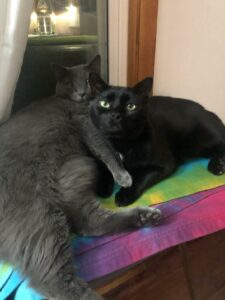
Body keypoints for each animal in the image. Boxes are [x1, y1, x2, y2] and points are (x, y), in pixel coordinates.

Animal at [0, 64, 162, 298]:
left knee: (89, 222)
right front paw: (123, 175)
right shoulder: (88, 125)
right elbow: (107, 150)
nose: (85, 92)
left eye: (88, 79)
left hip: (73, 175)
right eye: (73, 83)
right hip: (38, 215)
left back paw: (145, 217)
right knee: (53, 277)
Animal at [89, 72, 225, 206]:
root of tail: (207, 110)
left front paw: (124, 195)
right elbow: (102, 168)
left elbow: (141, 177)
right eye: (104, 104)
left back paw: (216, 166)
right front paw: (103, 187)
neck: (121, 143)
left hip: (201, 142)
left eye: (131, 106)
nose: (115, 115)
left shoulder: (165, 164)